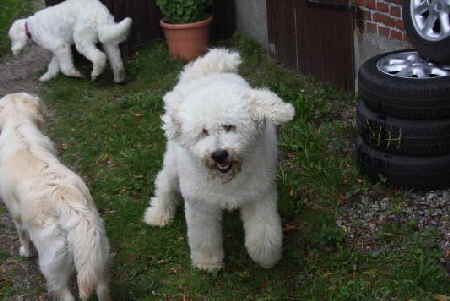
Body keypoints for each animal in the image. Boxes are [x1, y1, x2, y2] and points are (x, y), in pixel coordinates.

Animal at [0, 93, 111, 300]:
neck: (18, 125)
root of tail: (71, 210)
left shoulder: (16, 213)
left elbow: (22, 234)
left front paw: (25, 251)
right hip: (98, 254)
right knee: (102, 287)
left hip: (52, 264)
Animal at [144, 48, 296, 270]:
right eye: (203, 132)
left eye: (229, 126)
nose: (219, 154)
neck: (227, 179)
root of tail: (207, 71)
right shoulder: (201, 205)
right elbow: (204, 237)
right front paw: (207, 262)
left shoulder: (259, 195)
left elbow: (263, 233)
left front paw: (266, 257)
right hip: (173, 162)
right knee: (164, 183)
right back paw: (158, 213)